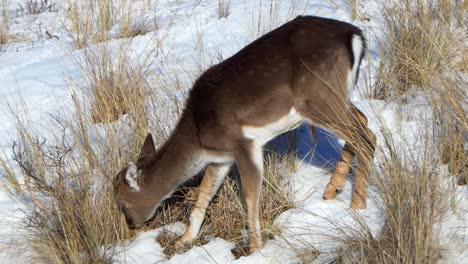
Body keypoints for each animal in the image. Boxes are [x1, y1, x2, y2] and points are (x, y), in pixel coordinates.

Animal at [113, 15, 376, 255]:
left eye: (122, 202)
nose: (132, 226)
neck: (197, 136)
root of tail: (355, 36)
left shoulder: (243, 143)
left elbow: (249, 197)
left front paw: (254, 249)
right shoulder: (221, 158)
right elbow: (204, 195)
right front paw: (184, 240)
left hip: (319, 97)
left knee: (365, 137)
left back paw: (358, 205)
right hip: (337, 96)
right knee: (363, 122)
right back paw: (332, 189)